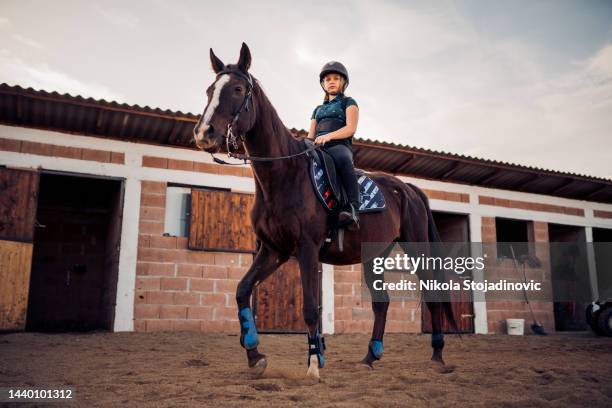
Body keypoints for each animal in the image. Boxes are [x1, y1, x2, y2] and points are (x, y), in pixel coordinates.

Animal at [194, 42, 456, 380]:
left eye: (238, 89)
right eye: (210, 90)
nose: (204, 134)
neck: (284, 175)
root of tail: (407, 188)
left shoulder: (306, 249)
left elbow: (309, 308)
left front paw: (313, 364)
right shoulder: (274, 250)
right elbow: (242, 290)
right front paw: (254, 353)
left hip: (416, 246)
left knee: (432, 296)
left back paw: (437, 356)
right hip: (373, 255)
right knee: (381, 304)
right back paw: (370, 357)